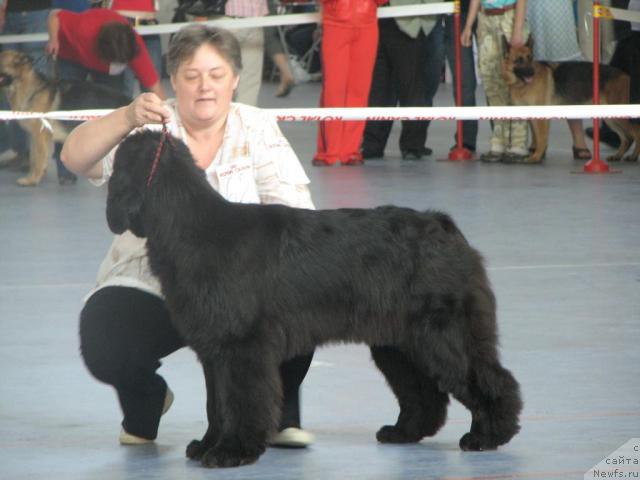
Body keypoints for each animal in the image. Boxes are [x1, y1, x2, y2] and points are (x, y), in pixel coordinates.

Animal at [0, 50, 131, 186]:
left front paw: (32, 180)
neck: (31, 89)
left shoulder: (40, 136)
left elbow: (38, 160)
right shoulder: (34, 136)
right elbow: (33, 159)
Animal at [107, 130, 524, 468]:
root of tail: (444, 226)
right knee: (424, 393)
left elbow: (240, 400)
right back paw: (403, 431)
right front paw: (209, 445)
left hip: (441, 337)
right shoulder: (214, 350)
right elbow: (216, 403)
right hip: (399, 344)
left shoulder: (242, 349)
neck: (192, 228)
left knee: (488, 380)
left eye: (117, 163)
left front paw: (232, 451)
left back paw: (487, 435)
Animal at [502, 36, 636, 164]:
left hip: (619, 116)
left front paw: (536, 157)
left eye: (530, 58)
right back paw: (617, 156)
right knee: (627, 138)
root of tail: (625, 75)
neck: (521, 84)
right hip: (611, 118)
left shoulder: (542, 120)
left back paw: (633, 156)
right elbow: (538, 138)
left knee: (636, 132)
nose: (531, 73)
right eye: (519, 60)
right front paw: (536, 155)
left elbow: (541, 139)